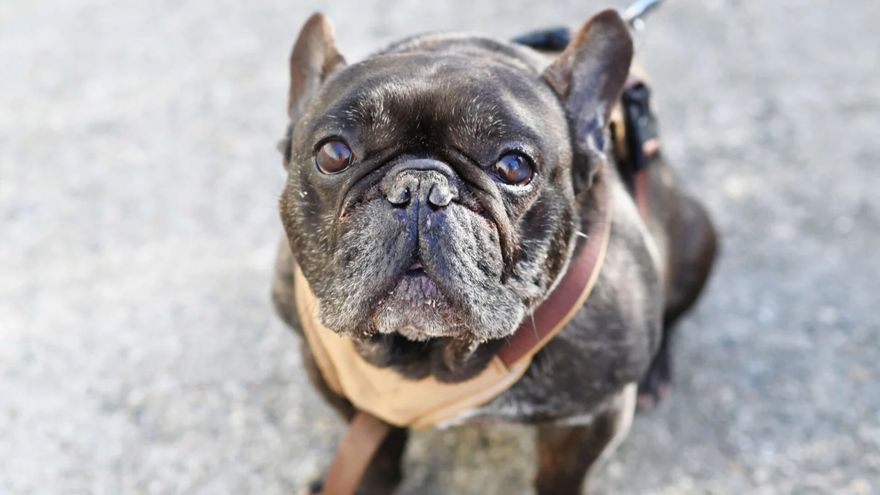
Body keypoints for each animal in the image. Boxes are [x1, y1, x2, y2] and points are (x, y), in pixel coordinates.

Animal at [271, 9, 717, 494]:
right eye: (333, 154)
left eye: (515, 167)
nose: (419, 185)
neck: (431, 356)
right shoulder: (326, 372)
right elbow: (378, 453)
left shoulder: (592, 418)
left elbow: (561, 478)